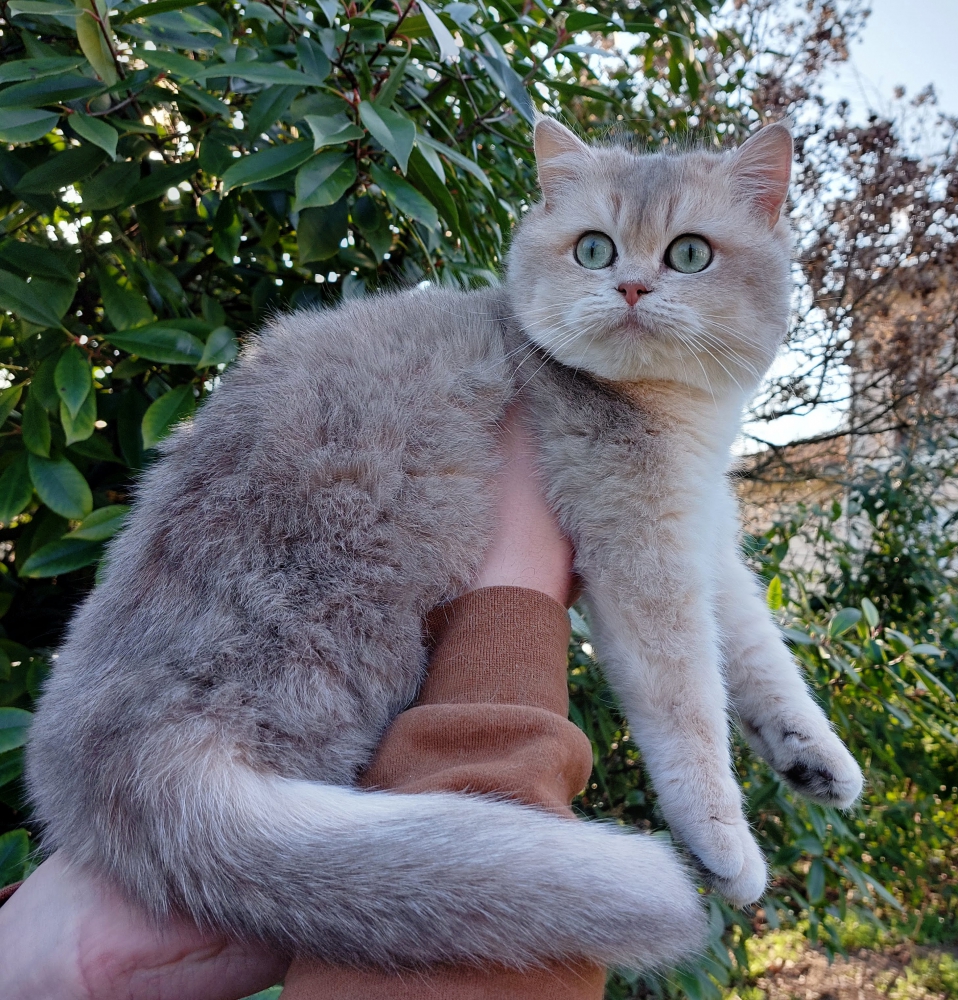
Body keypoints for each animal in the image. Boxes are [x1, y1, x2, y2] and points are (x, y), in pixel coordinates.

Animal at [24, 115, 864, 968]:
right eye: (594, 248)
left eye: (689, 254)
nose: (630, 287)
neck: (679, 415)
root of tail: (105, 757)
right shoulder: (640, 548)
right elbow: (687, 706)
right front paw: (724, 839)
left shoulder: (704, 530)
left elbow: (760, 652)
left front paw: (814, 754)